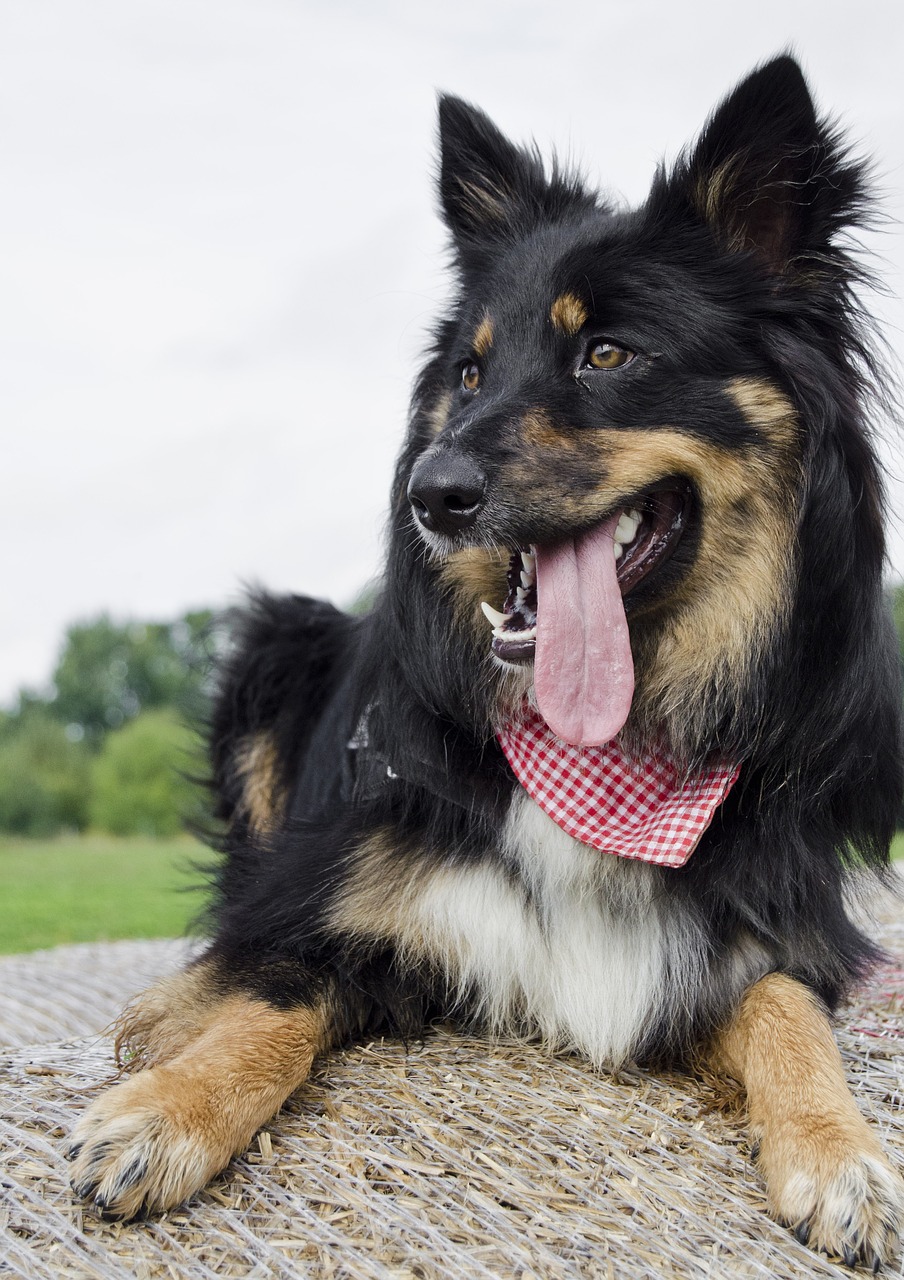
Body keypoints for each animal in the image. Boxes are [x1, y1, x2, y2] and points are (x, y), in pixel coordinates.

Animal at [65, 55, 901, 1264]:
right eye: (469, 373)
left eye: (608, 353)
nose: (430, 494)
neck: (603, 756)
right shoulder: (335, 896)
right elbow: (267, 994)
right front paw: (160, 1111)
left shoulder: (762, 931)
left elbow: (789, 1008)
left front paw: (844, 1156)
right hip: (279, 639)